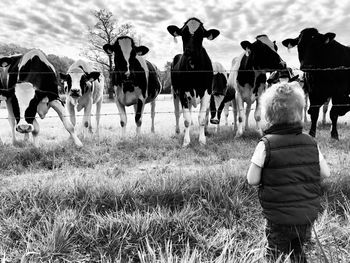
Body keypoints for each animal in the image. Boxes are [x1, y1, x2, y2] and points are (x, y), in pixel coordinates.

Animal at [167, 17, 219, 147]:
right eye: (183, 33)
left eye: (201, 34)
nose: (189, 51)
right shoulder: (182, 92)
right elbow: (186, 119)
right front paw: (186, 141)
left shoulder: (207, 91)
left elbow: (202, 118)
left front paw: (202, 140)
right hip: (175, 92)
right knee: (177, 113)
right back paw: (178, 131)